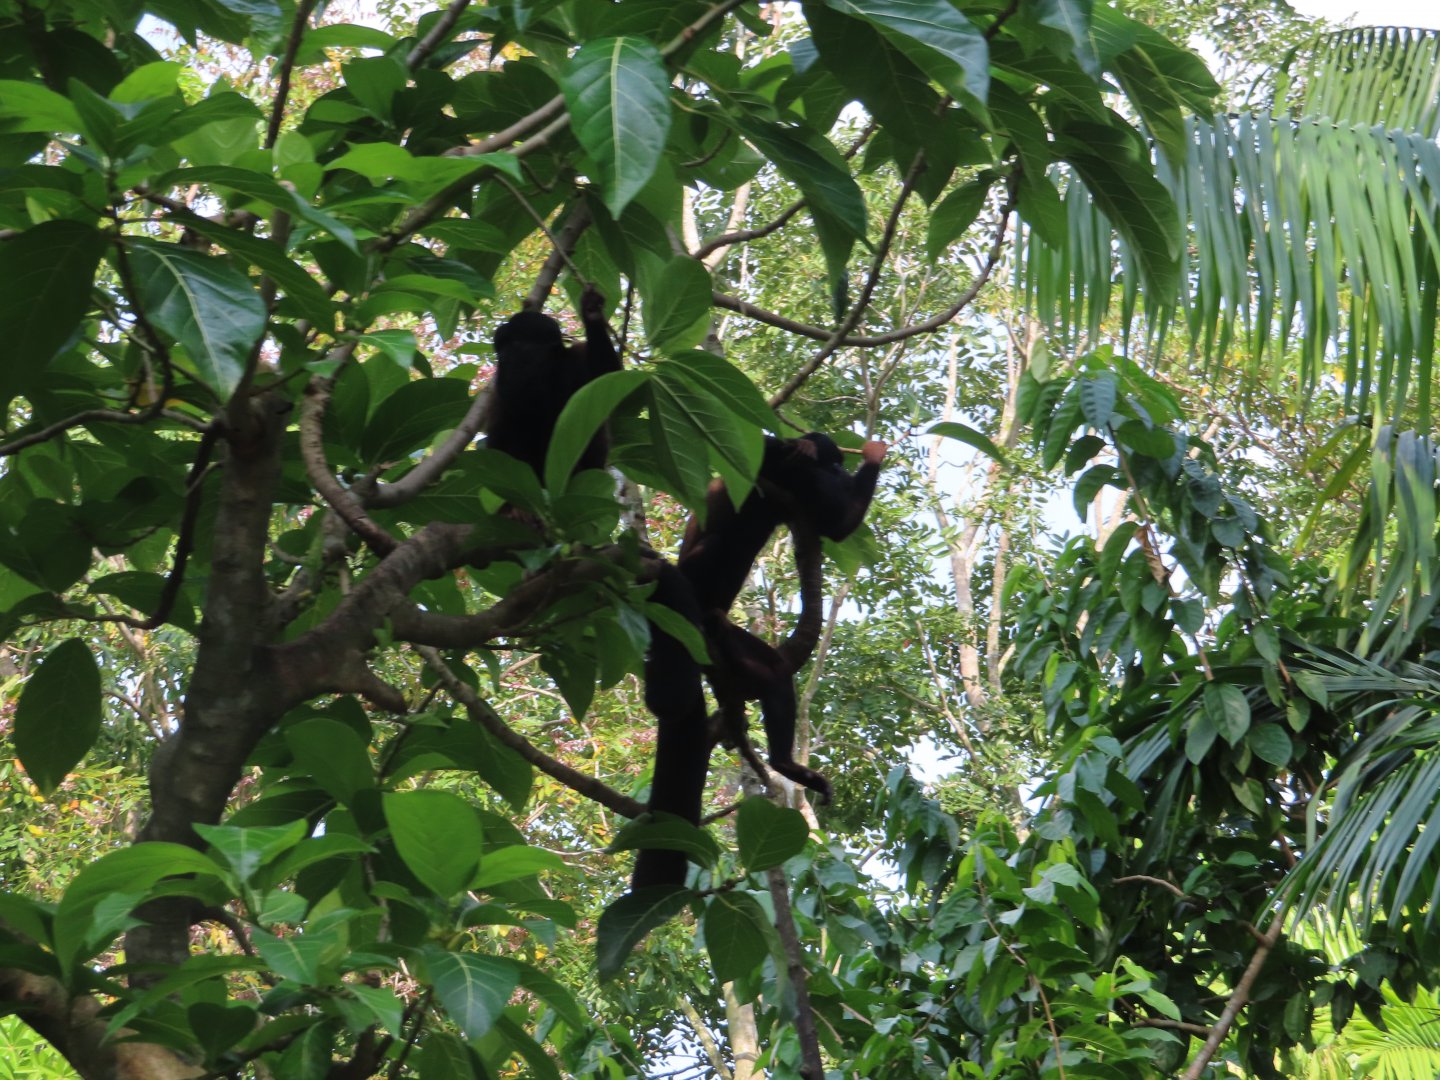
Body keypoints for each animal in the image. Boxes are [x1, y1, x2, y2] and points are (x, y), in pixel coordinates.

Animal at [484, 286, 619, 480]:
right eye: (505, 345)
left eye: (513, 342)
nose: (504, 354)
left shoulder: (576, 359)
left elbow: (607, 374)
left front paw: (591, 312)